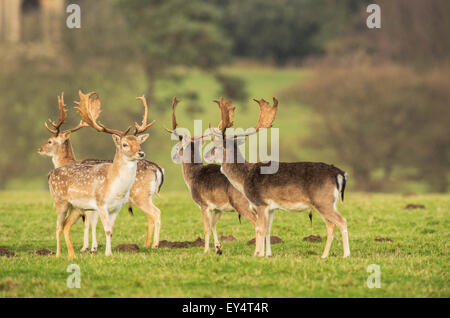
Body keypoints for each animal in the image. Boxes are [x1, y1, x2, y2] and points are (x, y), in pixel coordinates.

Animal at [39, 90, 163, 252]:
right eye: (125, 144)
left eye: (49, 141)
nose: (40, 149)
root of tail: (158, 169)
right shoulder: (96, 206)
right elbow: (94, 224)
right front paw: (92, 247)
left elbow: (91, 224)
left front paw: (89, 248)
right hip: (147, 196)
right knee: (152, 215)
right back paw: (149, 244)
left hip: (140, 195)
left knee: (155, 213)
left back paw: (154, 244)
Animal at [163, 97, 255, 253]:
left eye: (178, 147)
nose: (174, 156)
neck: (192, 176)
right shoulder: (218, 208)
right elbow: (213, 225)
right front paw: (218, 249)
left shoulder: (203, 204)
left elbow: (206, 227)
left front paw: (205, 251)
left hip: (242, 203)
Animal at [209, 98, 350, 258]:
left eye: (215, 147)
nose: (207, 155)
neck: (244, 178)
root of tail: (338, 173)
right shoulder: (271, 207)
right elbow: (267, 230)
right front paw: (267, 254)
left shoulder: (261, 203)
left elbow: (260, 228)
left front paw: (257, 254)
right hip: (329, 202)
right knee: (331, 225)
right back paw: (324, 255)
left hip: (323, 200)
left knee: (341, 221)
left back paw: (346, 254)